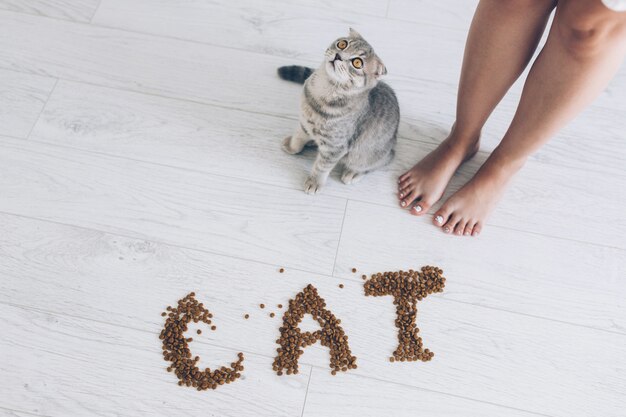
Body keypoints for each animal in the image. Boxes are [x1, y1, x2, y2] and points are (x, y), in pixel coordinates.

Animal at [276, 28, 398, 194]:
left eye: (357, 62)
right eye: (342, 44)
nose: (339, 56)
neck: (323, 91)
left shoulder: (335, 147)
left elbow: (321, 167)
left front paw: (314, 182)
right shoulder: (305, 123)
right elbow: (299, 137)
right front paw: (293, 147)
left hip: (367, 156)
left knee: (379, 162)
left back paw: (353, 172)